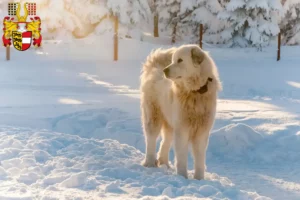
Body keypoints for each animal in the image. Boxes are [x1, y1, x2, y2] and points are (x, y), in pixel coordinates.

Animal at [139, 44, 221, 180]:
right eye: (173, 60)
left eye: (180, 60)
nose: (165, 70)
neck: (195, 93)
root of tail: (154, 66)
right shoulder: (182, 130)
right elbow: (182, 157)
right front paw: (183, 176)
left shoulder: (202, 132)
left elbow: (199, 158)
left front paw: (199, 179)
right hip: (153, 117)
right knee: (151, 140)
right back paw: (150, 163)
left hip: (171, 125)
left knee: (165, 142)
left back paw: (164, 163)